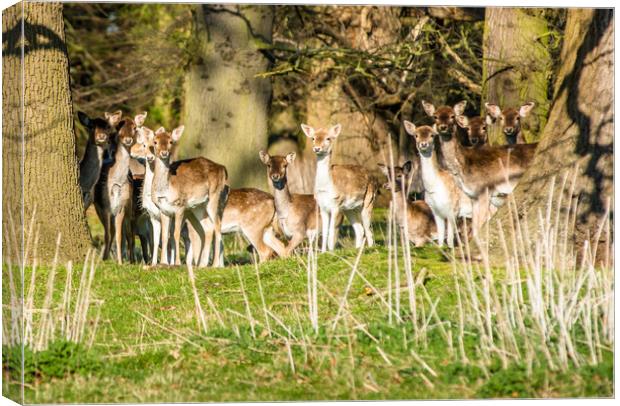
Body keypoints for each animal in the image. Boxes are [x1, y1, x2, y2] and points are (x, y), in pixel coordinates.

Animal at [94, 113, 140, 264]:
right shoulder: (105, 207)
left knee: (129, 235)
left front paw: (120, 262)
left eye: (135, 128)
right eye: (119, 127)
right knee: (112, 232)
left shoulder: (121, 207)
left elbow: (120, 236)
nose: (128, 139)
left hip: (129, 208)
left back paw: (131, 260)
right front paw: (104, 259)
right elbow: (107, 235)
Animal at [151, 126, 229, 266]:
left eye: (171, 141)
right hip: (198, 207)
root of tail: (222, 168)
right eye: (155, 141)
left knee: (217, 225)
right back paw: (202, 265)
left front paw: (177, 263)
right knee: (208, 227)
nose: (164, 153)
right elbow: (164, 236)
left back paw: (215, 264)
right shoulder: (163, 209)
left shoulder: (180, 206)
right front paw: (163, 263)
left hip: (214, 196)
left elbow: (175, 234)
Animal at [302, 123, 376, 251]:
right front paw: (323, 252)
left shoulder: (336, 204)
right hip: (349, 209)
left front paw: (331, 251)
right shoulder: (322, 206)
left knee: (368, 229)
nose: (317, 148)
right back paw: (357, 249)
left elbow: (332, 232)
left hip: (369, 201)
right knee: (360, 229)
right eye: (313, 138)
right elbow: (325, 231)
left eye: (328, 138)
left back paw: (371, 249)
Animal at [422, 99, 536, 232]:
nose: (443, 127)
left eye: (452, 116)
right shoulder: (473, 196)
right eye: (435, 116)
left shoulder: (484, 191)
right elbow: (476, 227)